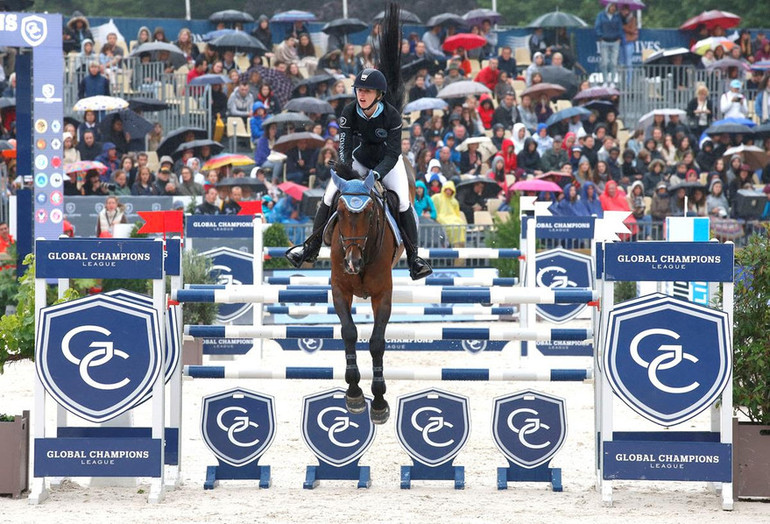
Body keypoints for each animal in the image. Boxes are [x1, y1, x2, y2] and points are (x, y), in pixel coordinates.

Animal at [328, 158, 416, 424]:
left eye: (369, 214)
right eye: (340, 212)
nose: (352, 263)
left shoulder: (382, 295)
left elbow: (377, 343)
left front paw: (378, 402)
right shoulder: (340, 290)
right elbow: (349, 333)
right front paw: (354, 394)